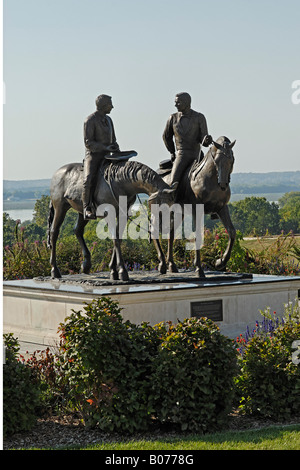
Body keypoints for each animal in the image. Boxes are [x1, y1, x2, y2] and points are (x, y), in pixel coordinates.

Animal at [47, 160, 176, 280]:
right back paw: (54, 270)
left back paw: (86, 265)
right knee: (54, 232)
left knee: (77, 230)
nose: (166, 227)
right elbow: (115, 239)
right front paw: (122, 271)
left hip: (82, 212)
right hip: (60, 208)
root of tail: (57, 173)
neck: (121, 183)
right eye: (163, 205)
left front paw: (113, 270)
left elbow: (118, 238)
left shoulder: (123, 214)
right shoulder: (109, 213)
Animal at [154, 134, 236, 278]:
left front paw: (221, 262)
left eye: (232, 159)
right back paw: (162, 264)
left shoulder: (222, 208)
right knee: (154, 231)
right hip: (160, 211)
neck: (210, 179)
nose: (223, 185)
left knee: (170, 233)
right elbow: (197, 235)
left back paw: (171, 265)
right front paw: (198, 268)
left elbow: (231, 231)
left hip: (178, 213)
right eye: (217, 159)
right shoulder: (196, 209)